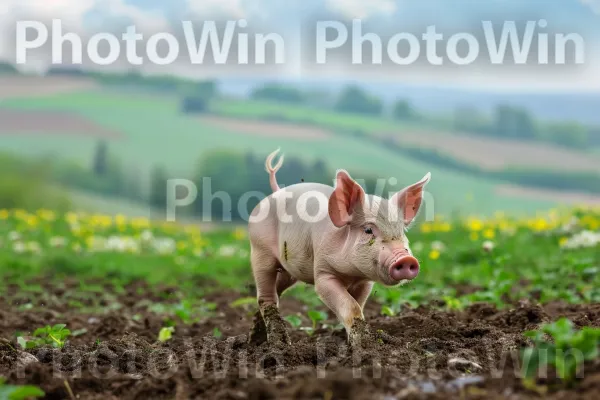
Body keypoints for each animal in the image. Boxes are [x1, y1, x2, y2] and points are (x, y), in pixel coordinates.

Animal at [248, 148, 432, 346]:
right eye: (368, 230)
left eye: (402, 232)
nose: (407, 259)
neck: (352, 274)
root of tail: (276, 191)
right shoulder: (323, 273)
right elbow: (350, 306)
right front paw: (363, 345)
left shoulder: (365, 282)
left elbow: (358, 305)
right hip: (260, 250)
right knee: (266, 297)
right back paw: (279, 342)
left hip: (289, 270)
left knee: (276, 291)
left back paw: (255, 339)